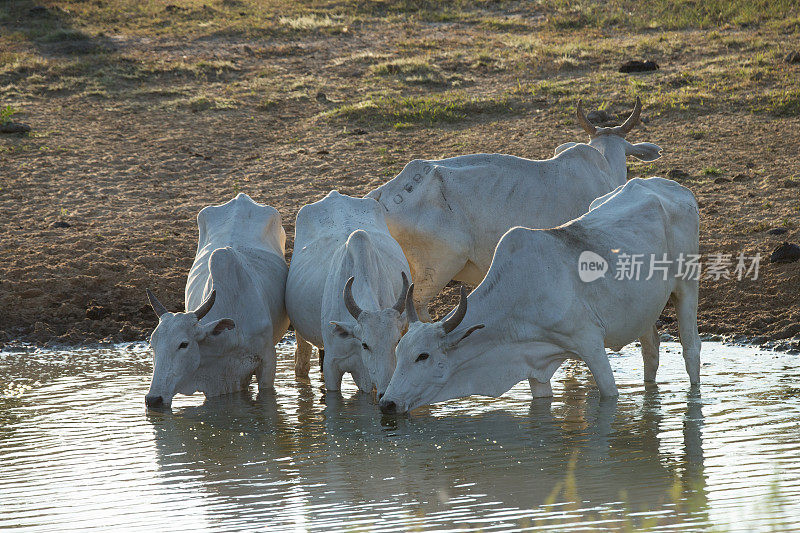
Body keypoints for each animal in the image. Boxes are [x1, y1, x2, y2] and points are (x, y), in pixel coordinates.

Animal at [286, 191, 412, 394]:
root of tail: (334, 194)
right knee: (302, 363)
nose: (385, 389)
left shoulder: (366, 376)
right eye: (365, 344)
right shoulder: (332, 366)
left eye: (397, 341)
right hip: (300, 334)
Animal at [378, 177, 696, 414]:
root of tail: (671, 187)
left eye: (423, 356)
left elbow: (608, 393)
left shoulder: (590, 344)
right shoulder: (534, 365)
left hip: (687, 286)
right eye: (397, 350)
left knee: (691, 349)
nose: (387, 404)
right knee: (651, 350)